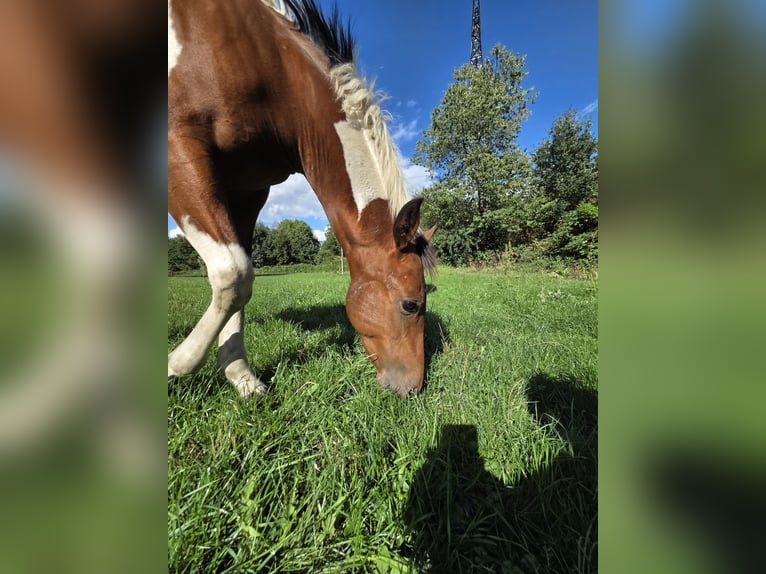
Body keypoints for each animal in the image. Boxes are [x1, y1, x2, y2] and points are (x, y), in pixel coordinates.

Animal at [168, 0, 436, 397]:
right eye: (410, 304)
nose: (412, 388)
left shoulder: (247, 192)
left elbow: (240, 285)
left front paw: (242, 378)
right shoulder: (179, 148)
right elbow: (233, 272)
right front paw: (176, 365)